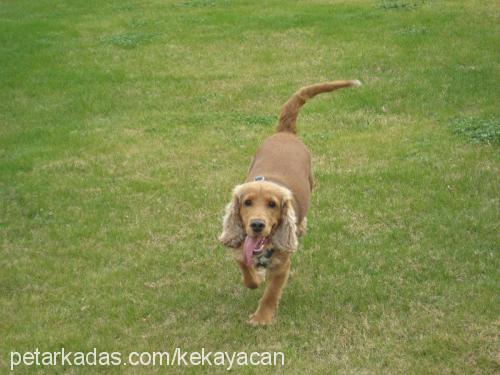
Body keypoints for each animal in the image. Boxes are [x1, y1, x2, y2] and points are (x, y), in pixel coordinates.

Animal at [219, 80, 360, 326]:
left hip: (311, 179)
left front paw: (262, 318)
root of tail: (285, 132)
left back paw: (300, 226)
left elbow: (271, 293)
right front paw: (256, 278)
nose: (257, 225)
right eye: (247, 202)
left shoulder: (282, 265)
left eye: (272, 205)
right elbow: (247, 273)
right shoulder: (240, 249)